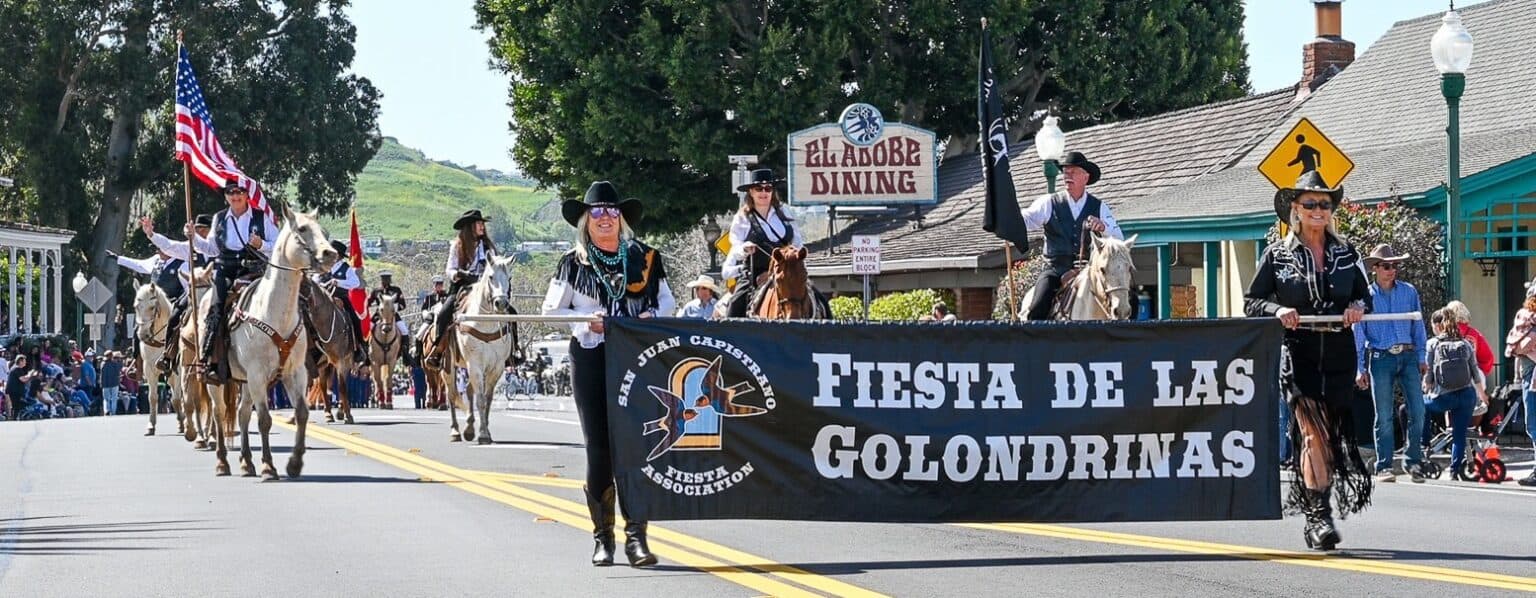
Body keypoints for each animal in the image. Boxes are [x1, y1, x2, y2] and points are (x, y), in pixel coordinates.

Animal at [132, 281, 178, 436]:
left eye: (152, 307)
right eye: (136, 306)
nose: (143, 335)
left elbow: (178, 397)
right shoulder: (149, 369)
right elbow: (152, 397)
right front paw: (151, 426)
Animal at [207, 209, 336, 479]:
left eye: (323, 230)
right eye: (302, 229)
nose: (330, 254)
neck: (273, 311)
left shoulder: (295, 372)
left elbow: (301, 413)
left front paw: (294, 463)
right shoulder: (257, 374)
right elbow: (264, 420)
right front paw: (268, 466)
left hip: (244, 380)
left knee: (242, 413)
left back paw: (246, 462)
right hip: (218, 380)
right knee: (219, 412)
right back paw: (222, 462)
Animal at [299, 278, 359, 424]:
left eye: (304, 285)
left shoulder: (342, 361)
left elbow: (342, 387)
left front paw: (348, 415)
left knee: (339, 385)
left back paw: (340, 412)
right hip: (323, 365)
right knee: (322, 386)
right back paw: (328, 413)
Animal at [442, 255, 519, 442]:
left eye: (509, 278)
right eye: (490, 277)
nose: (501, 303)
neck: (486, 322)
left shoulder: (497, 367)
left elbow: (487, 399)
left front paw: (485, 431)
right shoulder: (475, 364)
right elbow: (481, 399)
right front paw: (483, 434)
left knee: (469, 390)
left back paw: (469, 428)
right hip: (448, 366)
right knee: (451, 394)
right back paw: (455, 431)